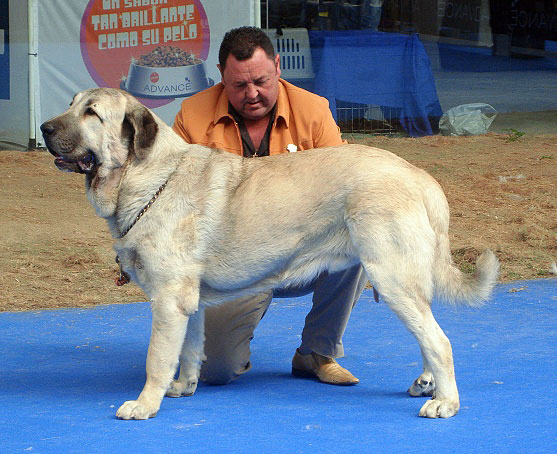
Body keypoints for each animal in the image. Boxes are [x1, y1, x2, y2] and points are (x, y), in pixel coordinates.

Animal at [41, 89, 498, 422]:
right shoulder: (189, 303)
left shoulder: (168, 300)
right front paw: (183, 387)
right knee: (428, 334)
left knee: (439, 341)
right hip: (399, 281)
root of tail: (419, 176)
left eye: (92, 113)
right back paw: (427, 384)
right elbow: (187, 350)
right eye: (71, 104)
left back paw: (446, 402)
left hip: (390, 276)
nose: (44, 127)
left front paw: (145, 404)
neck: (150, 178)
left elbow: (157, 358)